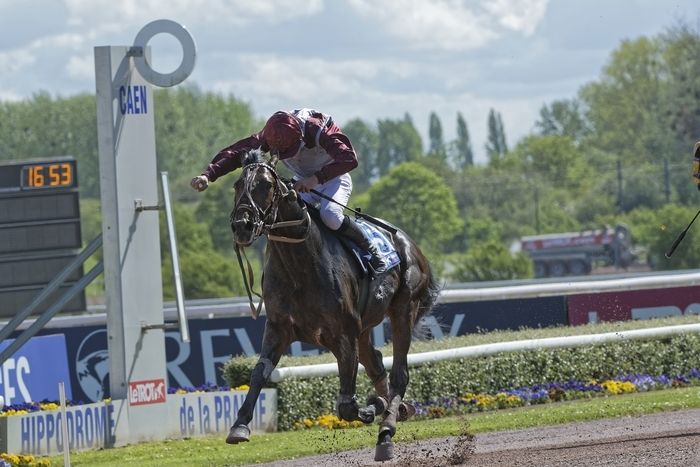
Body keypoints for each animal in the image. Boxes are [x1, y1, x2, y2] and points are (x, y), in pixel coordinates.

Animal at [227, 153, 440, 460]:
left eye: (266, 185)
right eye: (237, 184)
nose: (241, 225)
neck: (299, 266)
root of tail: (410, 243)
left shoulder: (343, 334)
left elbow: (347, 406)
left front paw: (373, 409)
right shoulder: (279, 328)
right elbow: (258, 372)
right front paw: (239, 426)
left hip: (403, 309)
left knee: (399, 373)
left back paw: (386, 431)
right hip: (364, 329)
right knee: (377, 364)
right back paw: (397, 407)